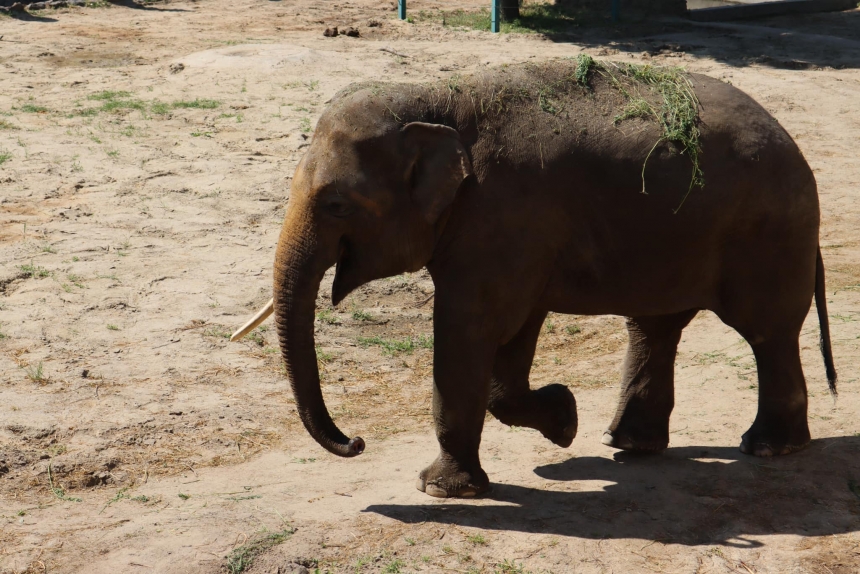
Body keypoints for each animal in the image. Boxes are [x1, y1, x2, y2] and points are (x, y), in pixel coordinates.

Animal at [232, 57, 836, 500]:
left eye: (336, 204)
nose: (357, 442)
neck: (436, 98)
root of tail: (795, 146)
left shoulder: (505, 219)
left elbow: (472, 327)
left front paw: (441, 490)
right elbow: (512, 335)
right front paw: (564, 422)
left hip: (768, 236)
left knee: (766, 332)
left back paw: (768, 449)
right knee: (656, 327)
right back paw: (627, 444)